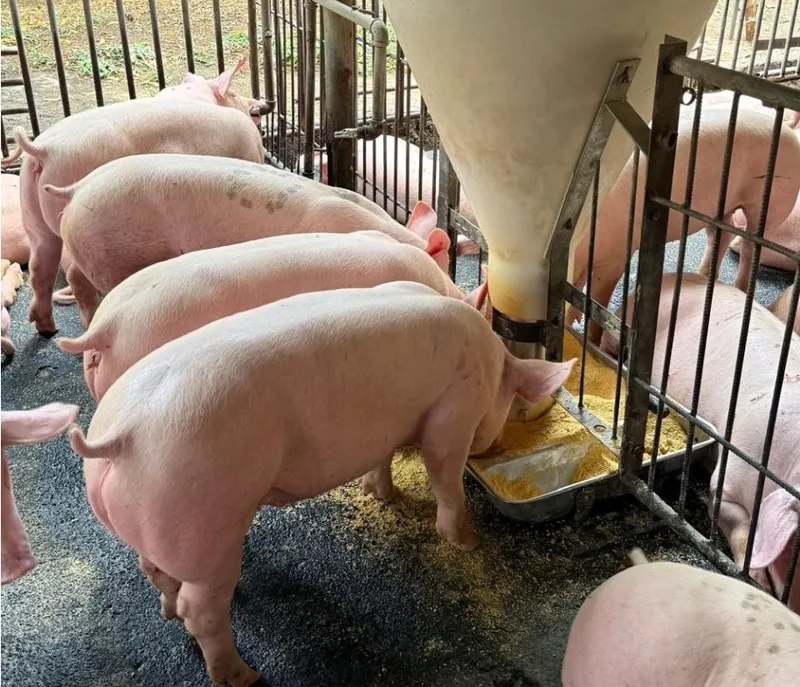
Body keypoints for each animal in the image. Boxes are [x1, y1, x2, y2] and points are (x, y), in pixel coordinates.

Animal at [45, 154, 454, 327]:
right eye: (441, 268)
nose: (459, 295)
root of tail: (78, 188)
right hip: (112, 252)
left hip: (83, 242)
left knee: (75, 276)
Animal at [69, 280, 576, 686]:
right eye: (510, 400)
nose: (495, 444)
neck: (489, 362)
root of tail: (121, 435)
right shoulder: (454, 412)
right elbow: (446, 476)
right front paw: (468, 543)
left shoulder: (382, 425)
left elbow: (381, 458)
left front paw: (381, 495)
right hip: (203, 517)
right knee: (203, 609)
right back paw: (242, 675)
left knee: (155, 571)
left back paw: (168, 611)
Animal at [570, 108, 800, 344]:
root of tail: (788, 129)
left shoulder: (615, 256)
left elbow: (597, 302)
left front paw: (588, 339)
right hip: (718, 208)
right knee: (722, 232)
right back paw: (701, 275)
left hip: (773, 201)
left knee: (750, 247)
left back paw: (738, 286)